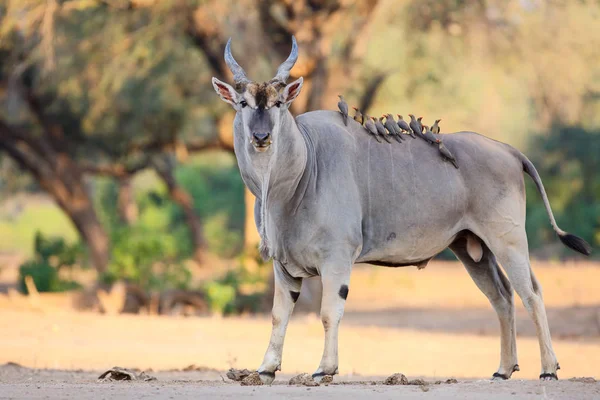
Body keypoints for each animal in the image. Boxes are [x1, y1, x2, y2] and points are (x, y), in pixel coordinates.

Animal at [211, 36, 592, 382]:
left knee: (531, 293)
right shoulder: (283, 266)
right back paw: (502, 370)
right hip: (473, 249)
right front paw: (266, 368)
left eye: (278, 103)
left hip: (507, 240)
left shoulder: (337, 258)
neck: (301, 171)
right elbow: (279, 315)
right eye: (243, 103)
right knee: (502, 297)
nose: (261, 137)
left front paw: (324, 370)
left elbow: (329, 312)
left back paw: (548, 369)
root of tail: (509, 151)